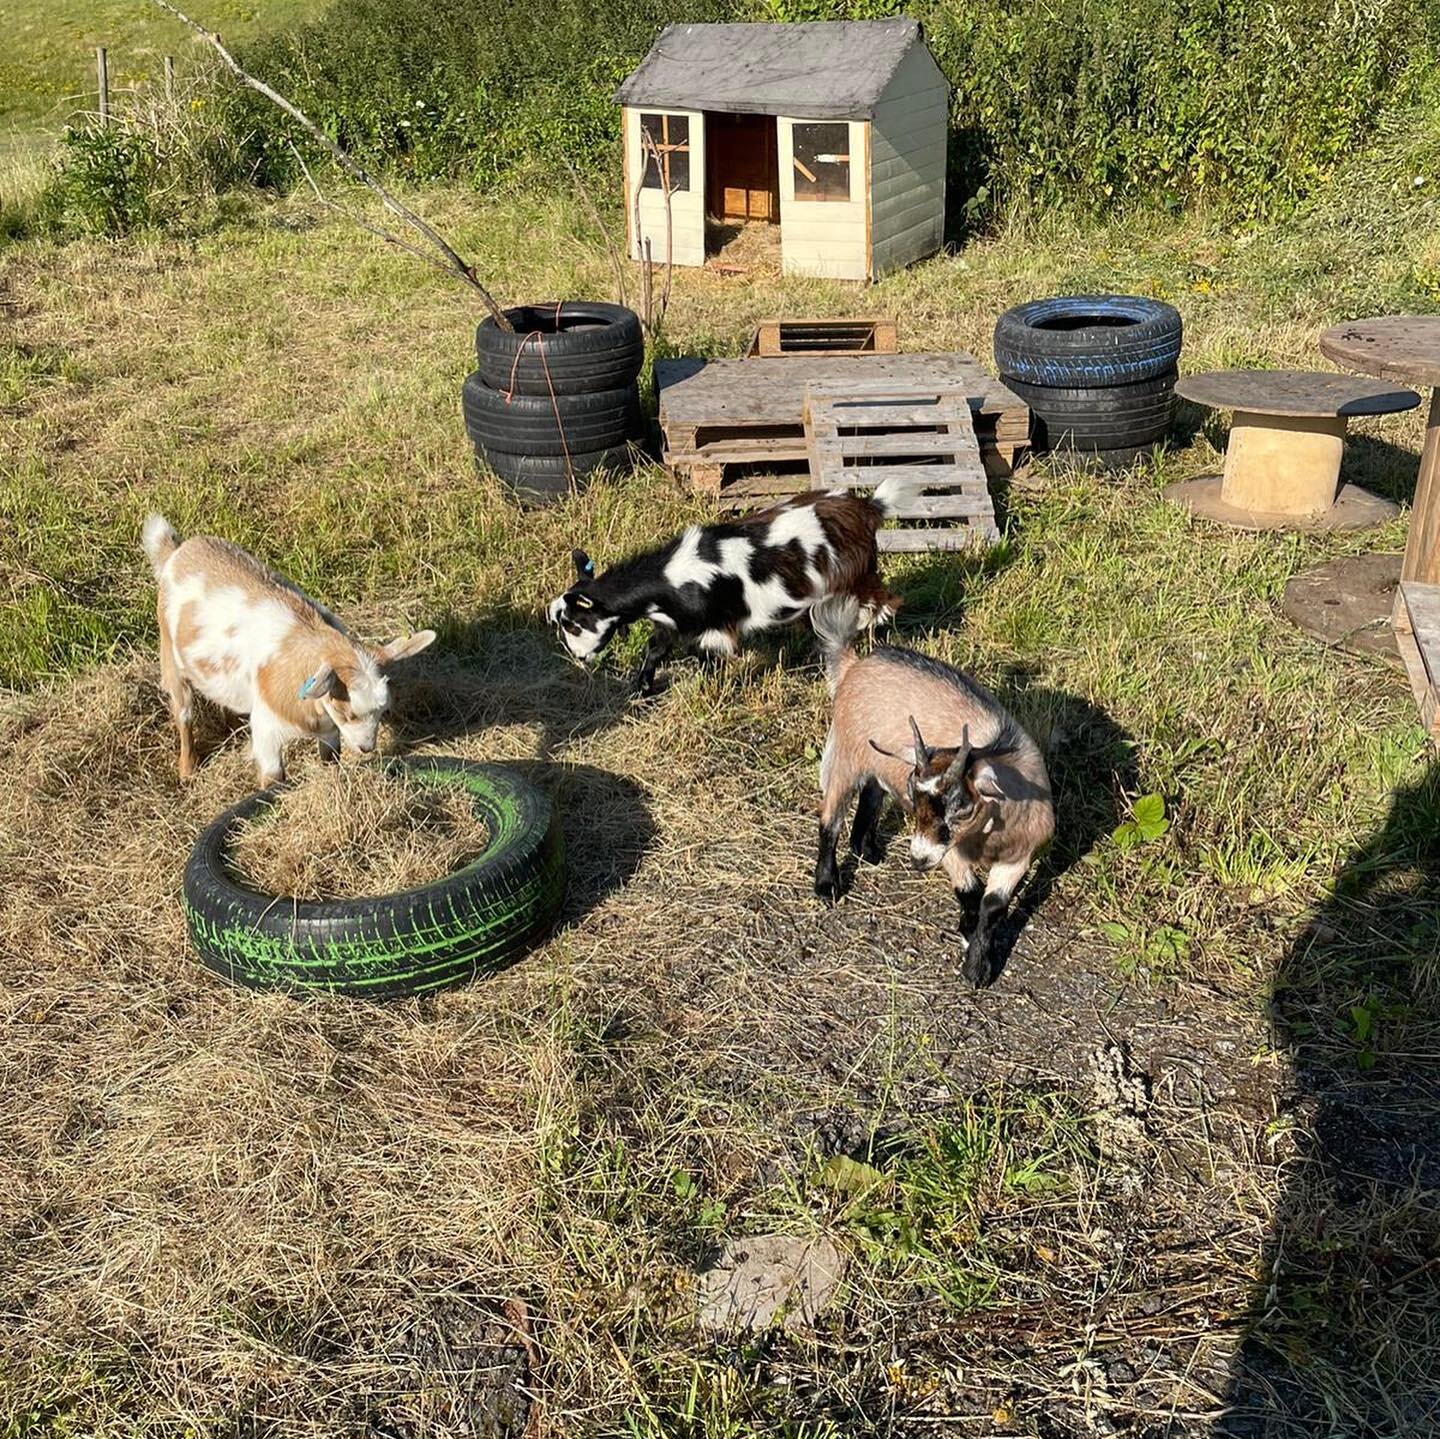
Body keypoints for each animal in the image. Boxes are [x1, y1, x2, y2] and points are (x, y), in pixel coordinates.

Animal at [145, 512, 437, 789]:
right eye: (347, 712)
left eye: (382, 710)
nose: (367, 748)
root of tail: (177, 550)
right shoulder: (267, 733)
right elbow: (273, 779)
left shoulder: (329, 731)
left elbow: (330, 759)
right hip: (170, 656)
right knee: (183, 713)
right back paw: (187, 769)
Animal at [544, 481, 904, 694]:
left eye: (573, 624)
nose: (579, 657)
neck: (670, 578)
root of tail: (867, 506)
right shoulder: (672, 622)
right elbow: (655, 650)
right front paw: (642, 689)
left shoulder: (716, 626)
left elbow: (703, 655)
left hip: (854, 579)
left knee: (881, 604)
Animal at [812, 596, 1059, 991]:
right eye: (917, 801)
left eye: (959, 806)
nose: (917, 859)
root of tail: (854, 663)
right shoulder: (951, 851)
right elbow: (970, 892)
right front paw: (968, 935)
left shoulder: (1019, 855)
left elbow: (993, 906)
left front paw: (979, 969)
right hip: (846, 754)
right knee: (830, 817)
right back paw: (826, 884)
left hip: (875, 758)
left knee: (873, 791)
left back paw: (866, 849)